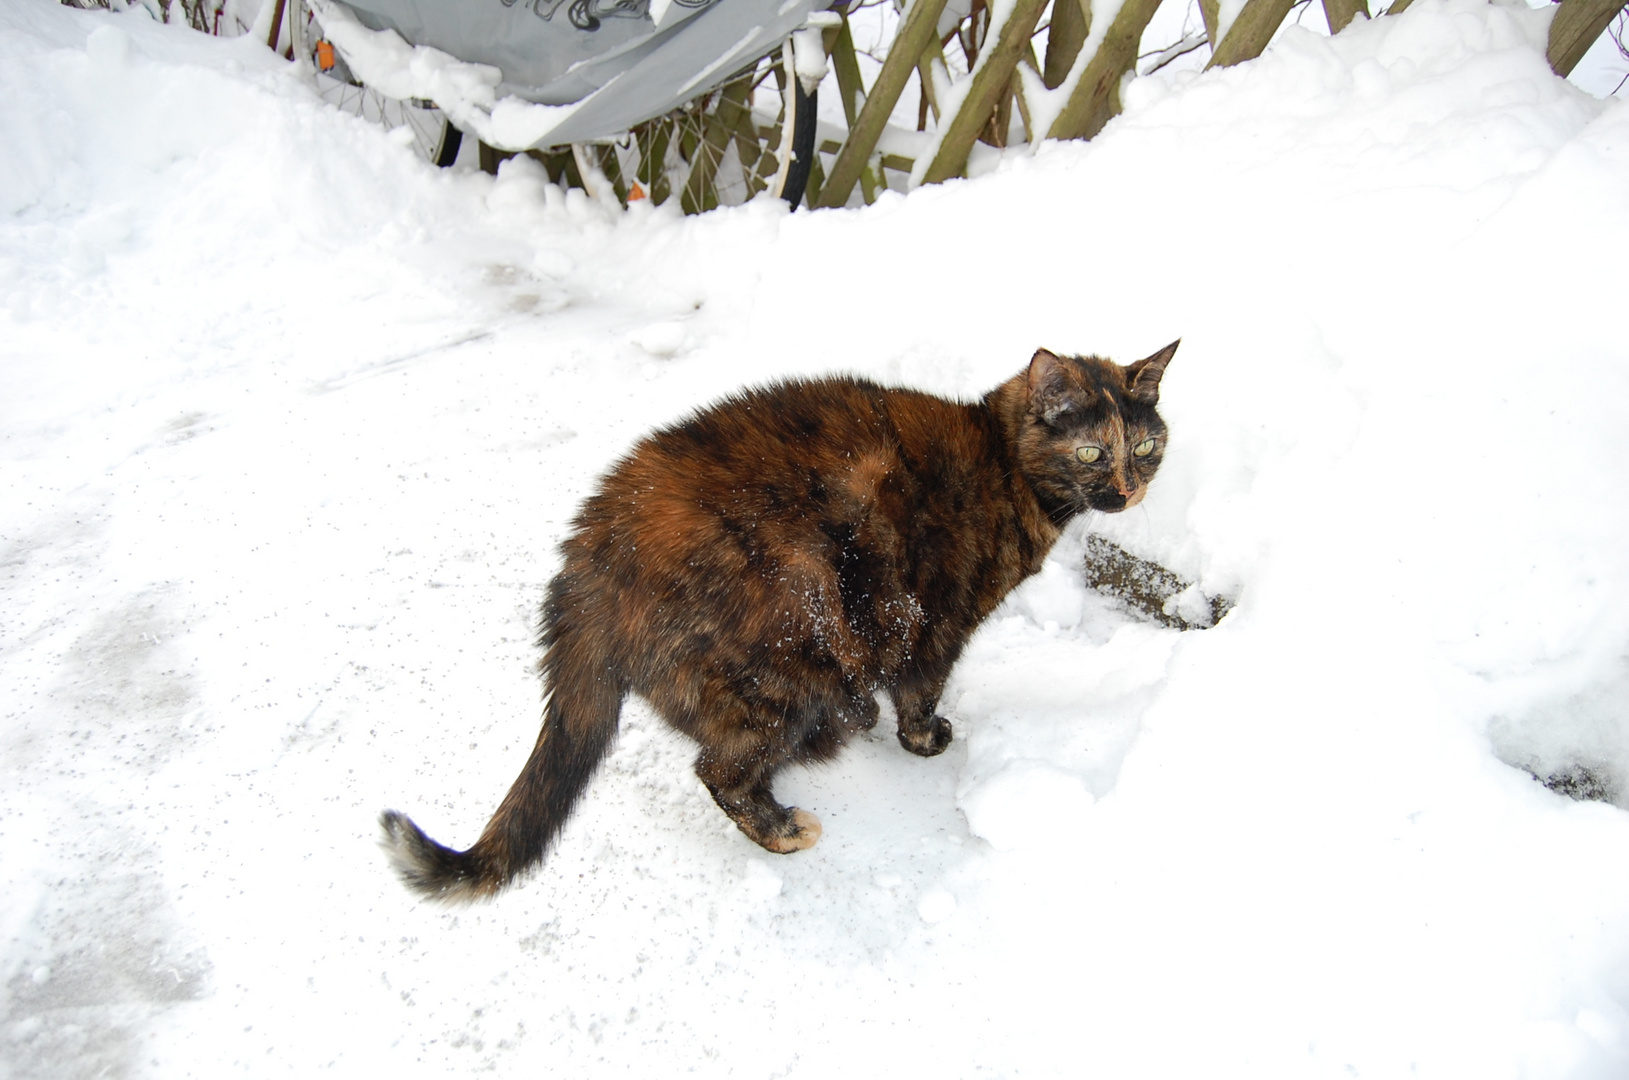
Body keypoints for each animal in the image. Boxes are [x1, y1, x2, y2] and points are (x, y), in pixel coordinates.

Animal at [381, 342, 1172, 899]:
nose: (1129, 490)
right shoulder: (938, 621)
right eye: (1091, 450)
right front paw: (925, 740)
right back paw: (785, 828)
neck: (1005, 464)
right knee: (720, 767)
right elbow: (920, 692)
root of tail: (590, 553)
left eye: (1145, 447)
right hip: (792, 660)